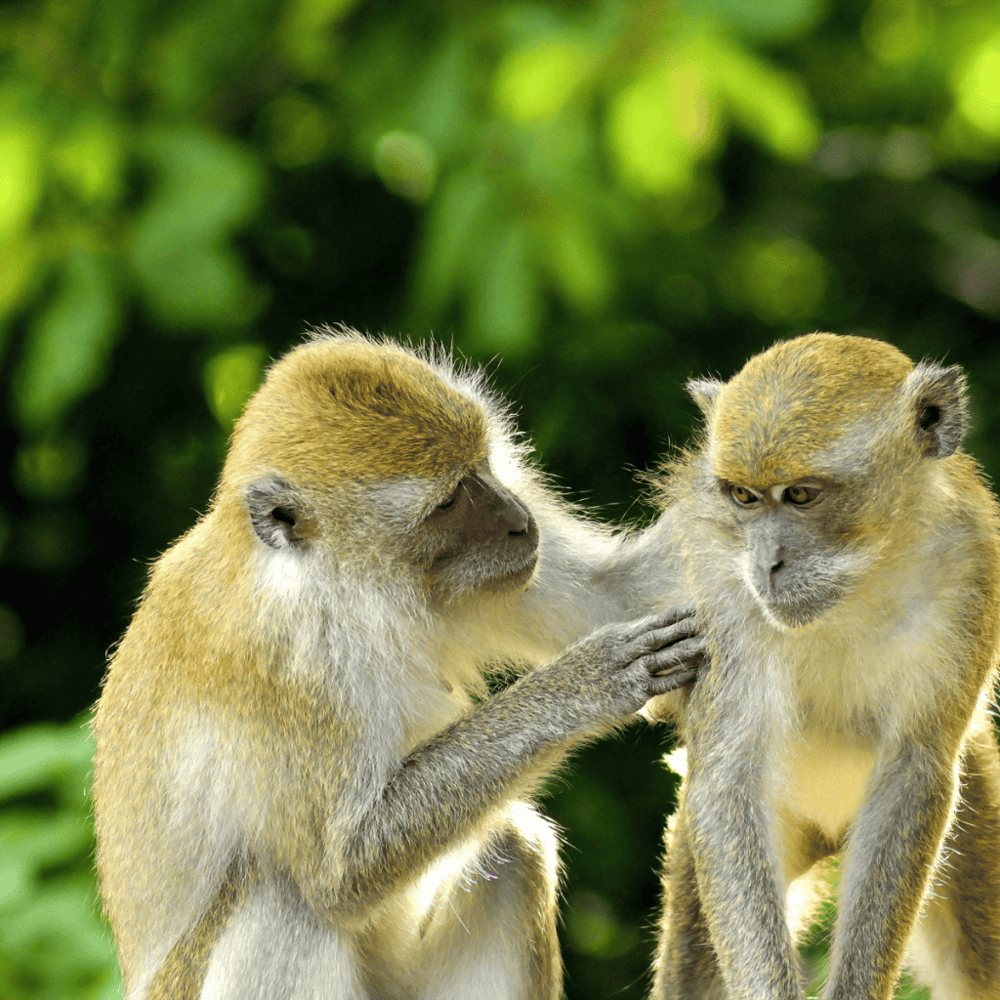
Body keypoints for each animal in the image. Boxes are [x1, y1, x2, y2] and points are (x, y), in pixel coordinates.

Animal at [90, 327, 706, 1000]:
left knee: (510, 851)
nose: (520, 522)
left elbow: (617, 594)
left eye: (482, 467)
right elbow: (342, 871)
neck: (341, 585)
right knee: (285, 900)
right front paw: (586, 683)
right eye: (449, 502)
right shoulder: (284, 665)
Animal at [639, 332, 1000, 1000]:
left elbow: (914, 771)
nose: (767, 564)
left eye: (801, 496)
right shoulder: (722, 590)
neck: (868, 574)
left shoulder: (975, 567)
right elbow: (727, 778)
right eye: (744, 497)